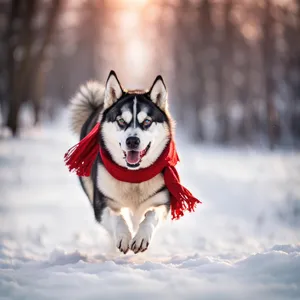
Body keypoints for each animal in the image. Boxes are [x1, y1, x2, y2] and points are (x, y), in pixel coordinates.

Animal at [69, 71, 173, 254]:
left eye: (147, 121)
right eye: (121, 121)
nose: (132, 141)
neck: (133, 177)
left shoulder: (162, 199)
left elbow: (151, 215)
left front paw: (141, 237)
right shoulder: (102, 203)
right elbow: (116, 217)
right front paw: (124, 236)